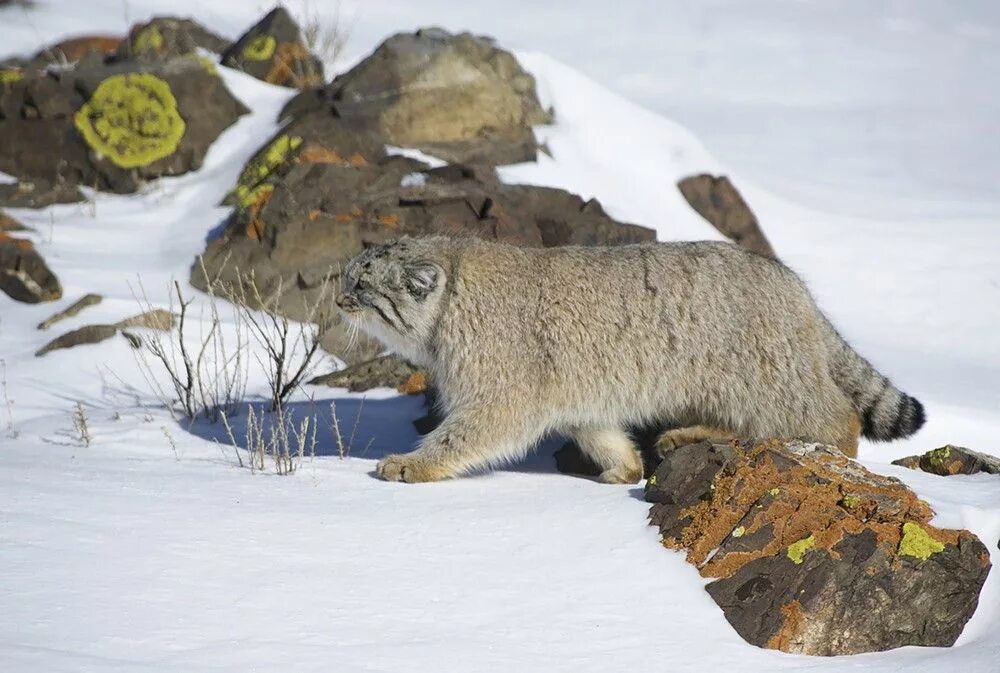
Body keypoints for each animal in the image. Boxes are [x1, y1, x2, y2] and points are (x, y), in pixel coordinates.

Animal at [334, 236, 920, 484]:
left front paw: (413, 463)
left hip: (765, 375)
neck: (454, 290)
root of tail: (796, 285)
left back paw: (833, 447)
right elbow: (597, 431)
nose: (337, 301)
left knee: (831, 415)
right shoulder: (573, 394)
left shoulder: (506, 387)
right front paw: (625, 466)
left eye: (362, 285)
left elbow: (465, 434)